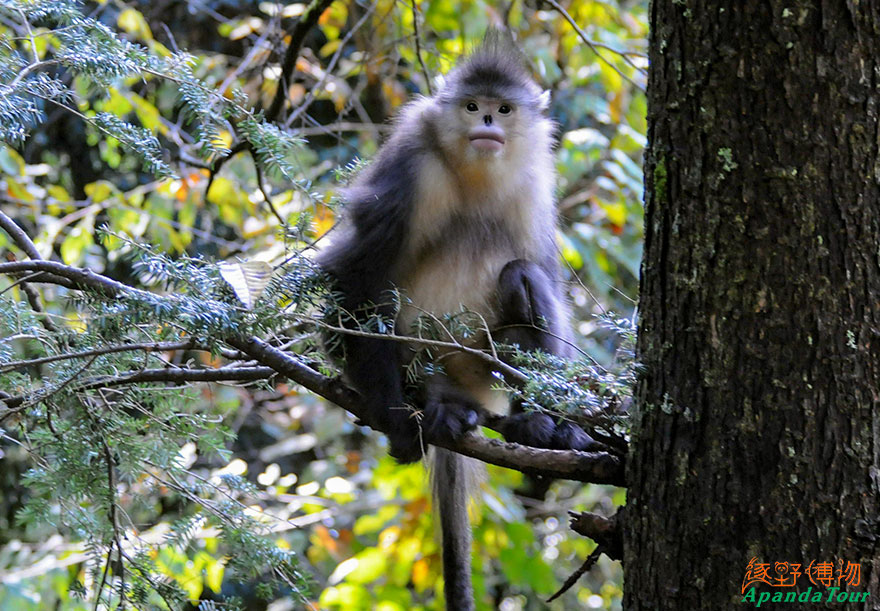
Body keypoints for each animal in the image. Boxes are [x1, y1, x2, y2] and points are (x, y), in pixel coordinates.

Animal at [320, 34, 596, 611]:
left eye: (503, 109)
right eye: (472, 105)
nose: (487, 121)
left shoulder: (534, 182)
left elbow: (546, 276)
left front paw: (558, 426)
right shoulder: (410, 164)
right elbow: (348, 278)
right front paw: (395, 417)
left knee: (522, 275)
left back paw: (529, 425)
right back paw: (434, 406)